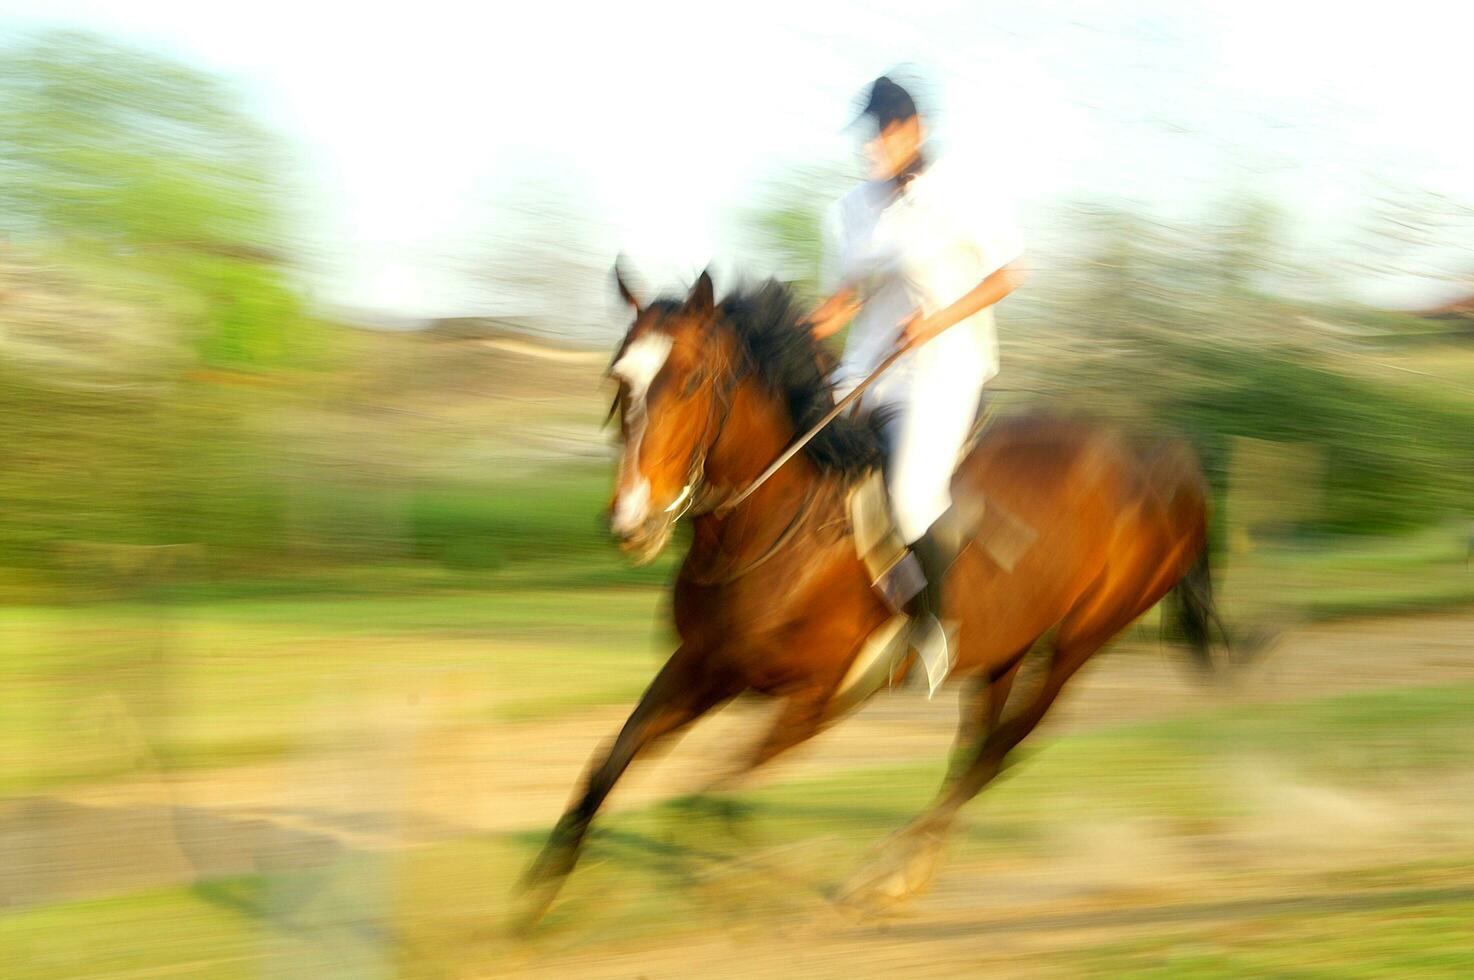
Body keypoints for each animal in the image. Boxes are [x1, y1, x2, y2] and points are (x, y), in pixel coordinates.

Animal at [518, 269, 1220, 925]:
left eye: (690, 383)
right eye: (619, 379)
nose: (631, 523)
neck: (771, 532)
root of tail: (1160, 461)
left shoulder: (817, 699)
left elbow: (707, 798)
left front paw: (741, 891)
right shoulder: (703, 667)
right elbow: (609, 764)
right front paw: (541, 894)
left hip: (1080, 643)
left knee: (999, 751)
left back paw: (886, 874)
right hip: (1005, 649)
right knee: (976, 748)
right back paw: (907, 871)